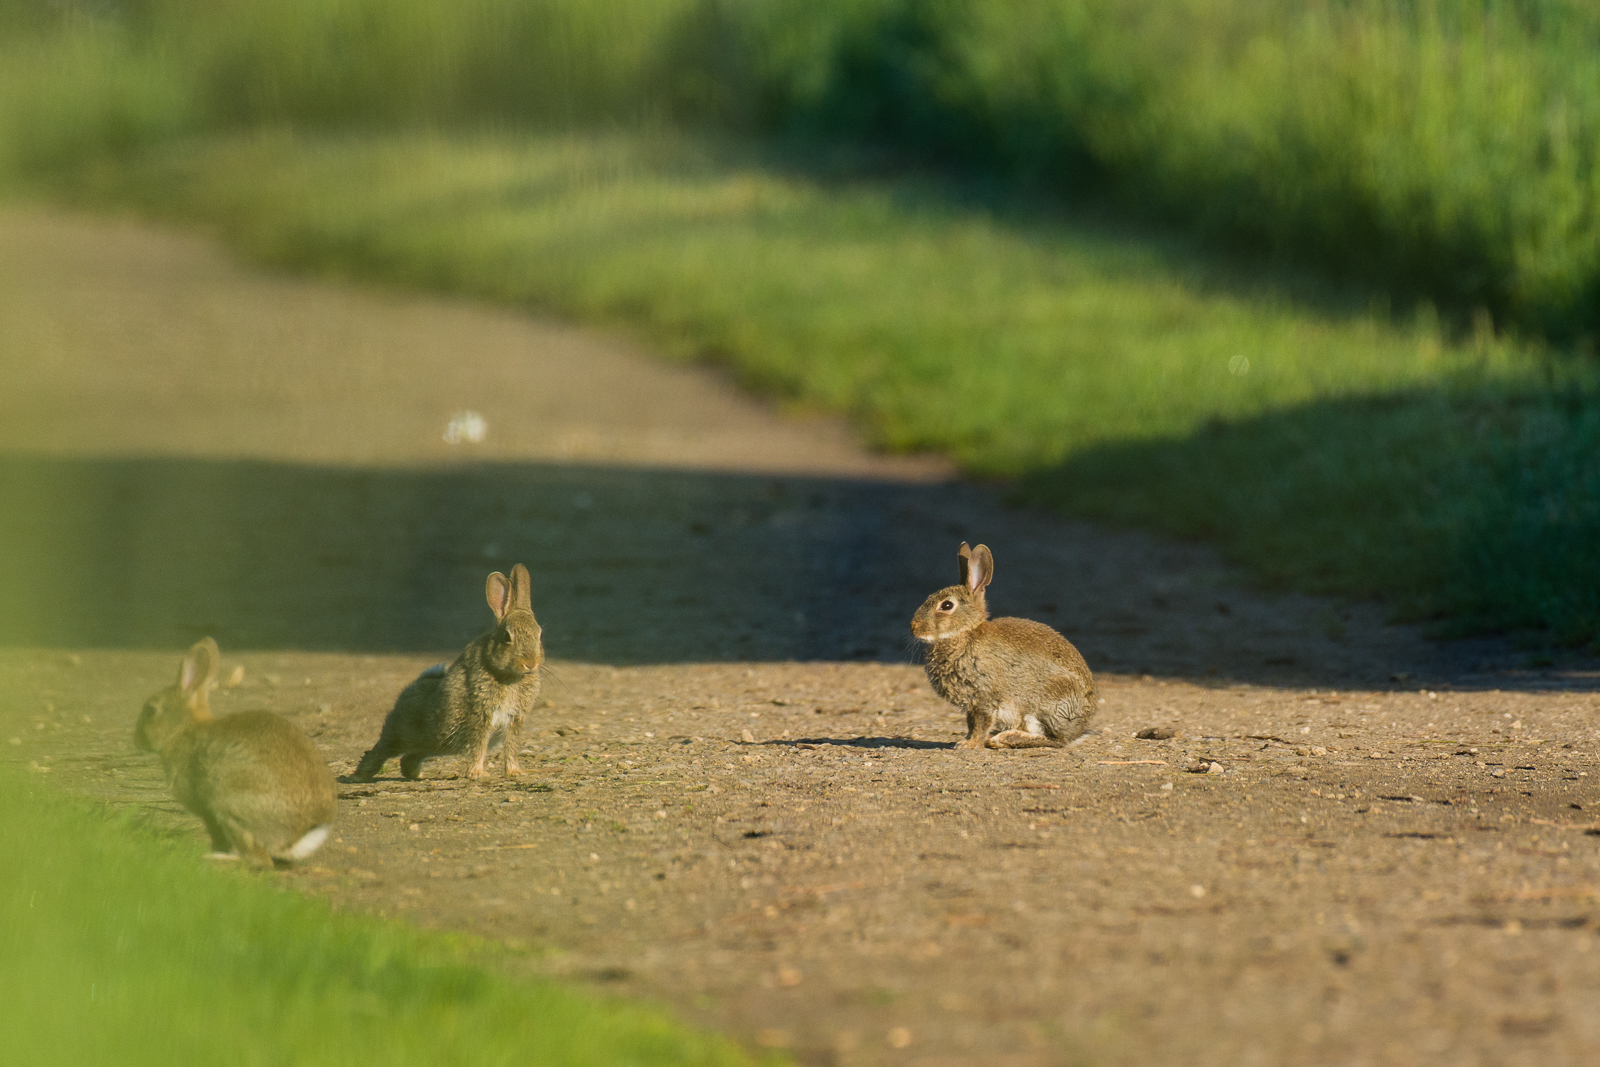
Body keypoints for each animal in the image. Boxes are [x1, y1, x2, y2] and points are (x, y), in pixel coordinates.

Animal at [134, 639, 337, 863]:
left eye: (151, 710)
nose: (137, 740)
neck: (183, 729)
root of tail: (296, 838)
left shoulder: (208, 811)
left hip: (230, 804)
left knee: (258, 859)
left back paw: (218, 858)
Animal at [352, 563, 544, 780]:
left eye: (539, 635)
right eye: (507, 637)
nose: (531, 663)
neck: (508, 675)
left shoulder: (514, 720)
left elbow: (510, 747)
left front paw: (515, 772)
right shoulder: (481, 716)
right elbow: (479, 746)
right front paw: (477, 773)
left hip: (435, 744)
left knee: (409, 757)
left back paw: (416, 775)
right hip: (403, 734)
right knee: (381, 750)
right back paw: (360, 775)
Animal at [915, 543, 1100, 751]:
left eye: (946, 605)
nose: (914, 627)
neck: (965, 633)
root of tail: (1080, 727)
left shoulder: (984, 697)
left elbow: (981, 723)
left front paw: (969, 745)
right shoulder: (972, 705)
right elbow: (971, 723)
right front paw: (966, 741)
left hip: (1048, 704)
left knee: (1055, 740)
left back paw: (1005, 738)